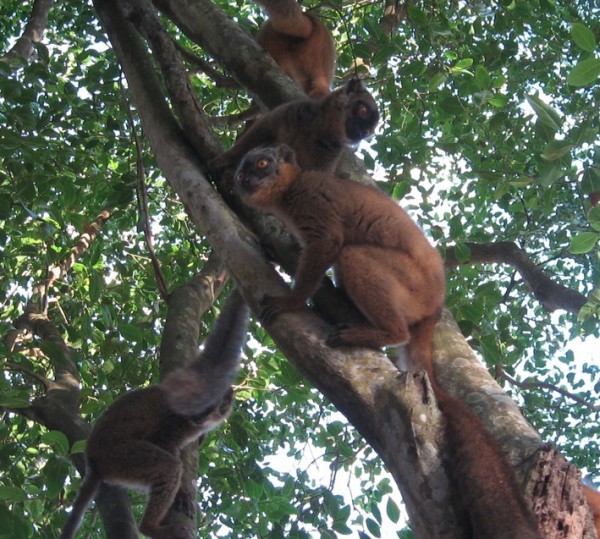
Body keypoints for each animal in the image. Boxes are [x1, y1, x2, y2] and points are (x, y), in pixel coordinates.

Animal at [59, 289, 249, 539]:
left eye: (214, 407)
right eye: (200, 405)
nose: (200, 417)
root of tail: (92, 457)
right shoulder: (175, 422)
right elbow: (163, 442)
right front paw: (182, 494)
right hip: (121, 456)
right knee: (168, 467)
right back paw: (149, 527)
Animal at [211, 78, 378, 190]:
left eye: (368, 132)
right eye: (363, 111)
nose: (360, 134)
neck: (320, 128)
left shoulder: (329, 154)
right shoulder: (294, 110)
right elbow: (264, 128)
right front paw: (226, 159)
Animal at [234, 145, 542, 539]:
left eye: (262, 163)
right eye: (243, 171)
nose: (248, 180)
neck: (290, 190)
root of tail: (435, 306)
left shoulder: (313, 202)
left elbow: (328, 243)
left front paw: (293, 300)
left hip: (408, 287)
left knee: (351, 254)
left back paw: (383, 331)